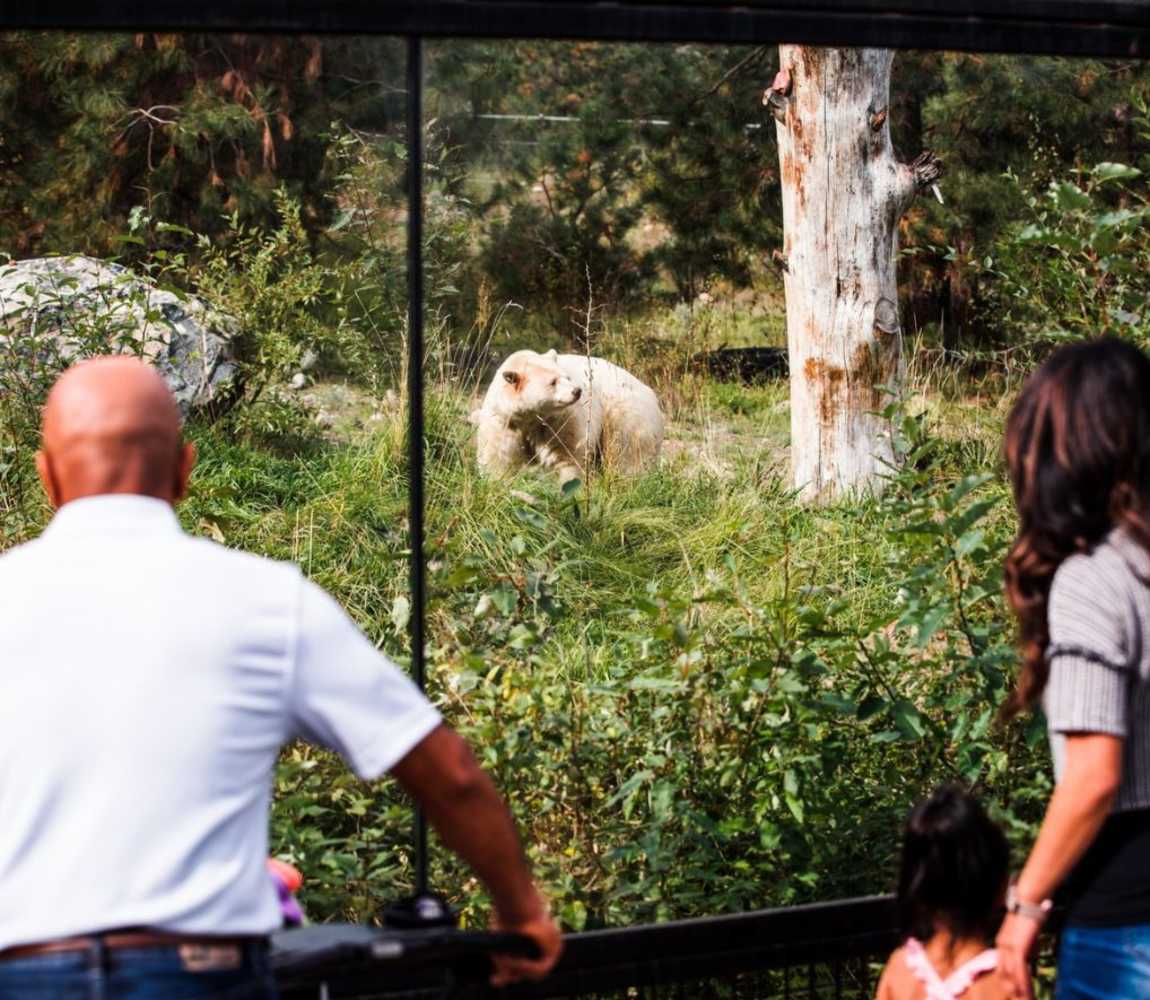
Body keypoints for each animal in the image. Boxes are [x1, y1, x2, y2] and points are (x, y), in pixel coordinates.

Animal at [469, 349, 667, 485]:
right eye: (553, 382)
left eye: (567, 377)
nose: (577, 391)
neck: (529, 418)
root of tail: (650, 392)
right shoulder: (504, 422)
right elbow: (498, 458)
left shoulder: (559, 420)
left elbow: (566, 455)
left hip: (626, 411)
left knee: (627, 452)